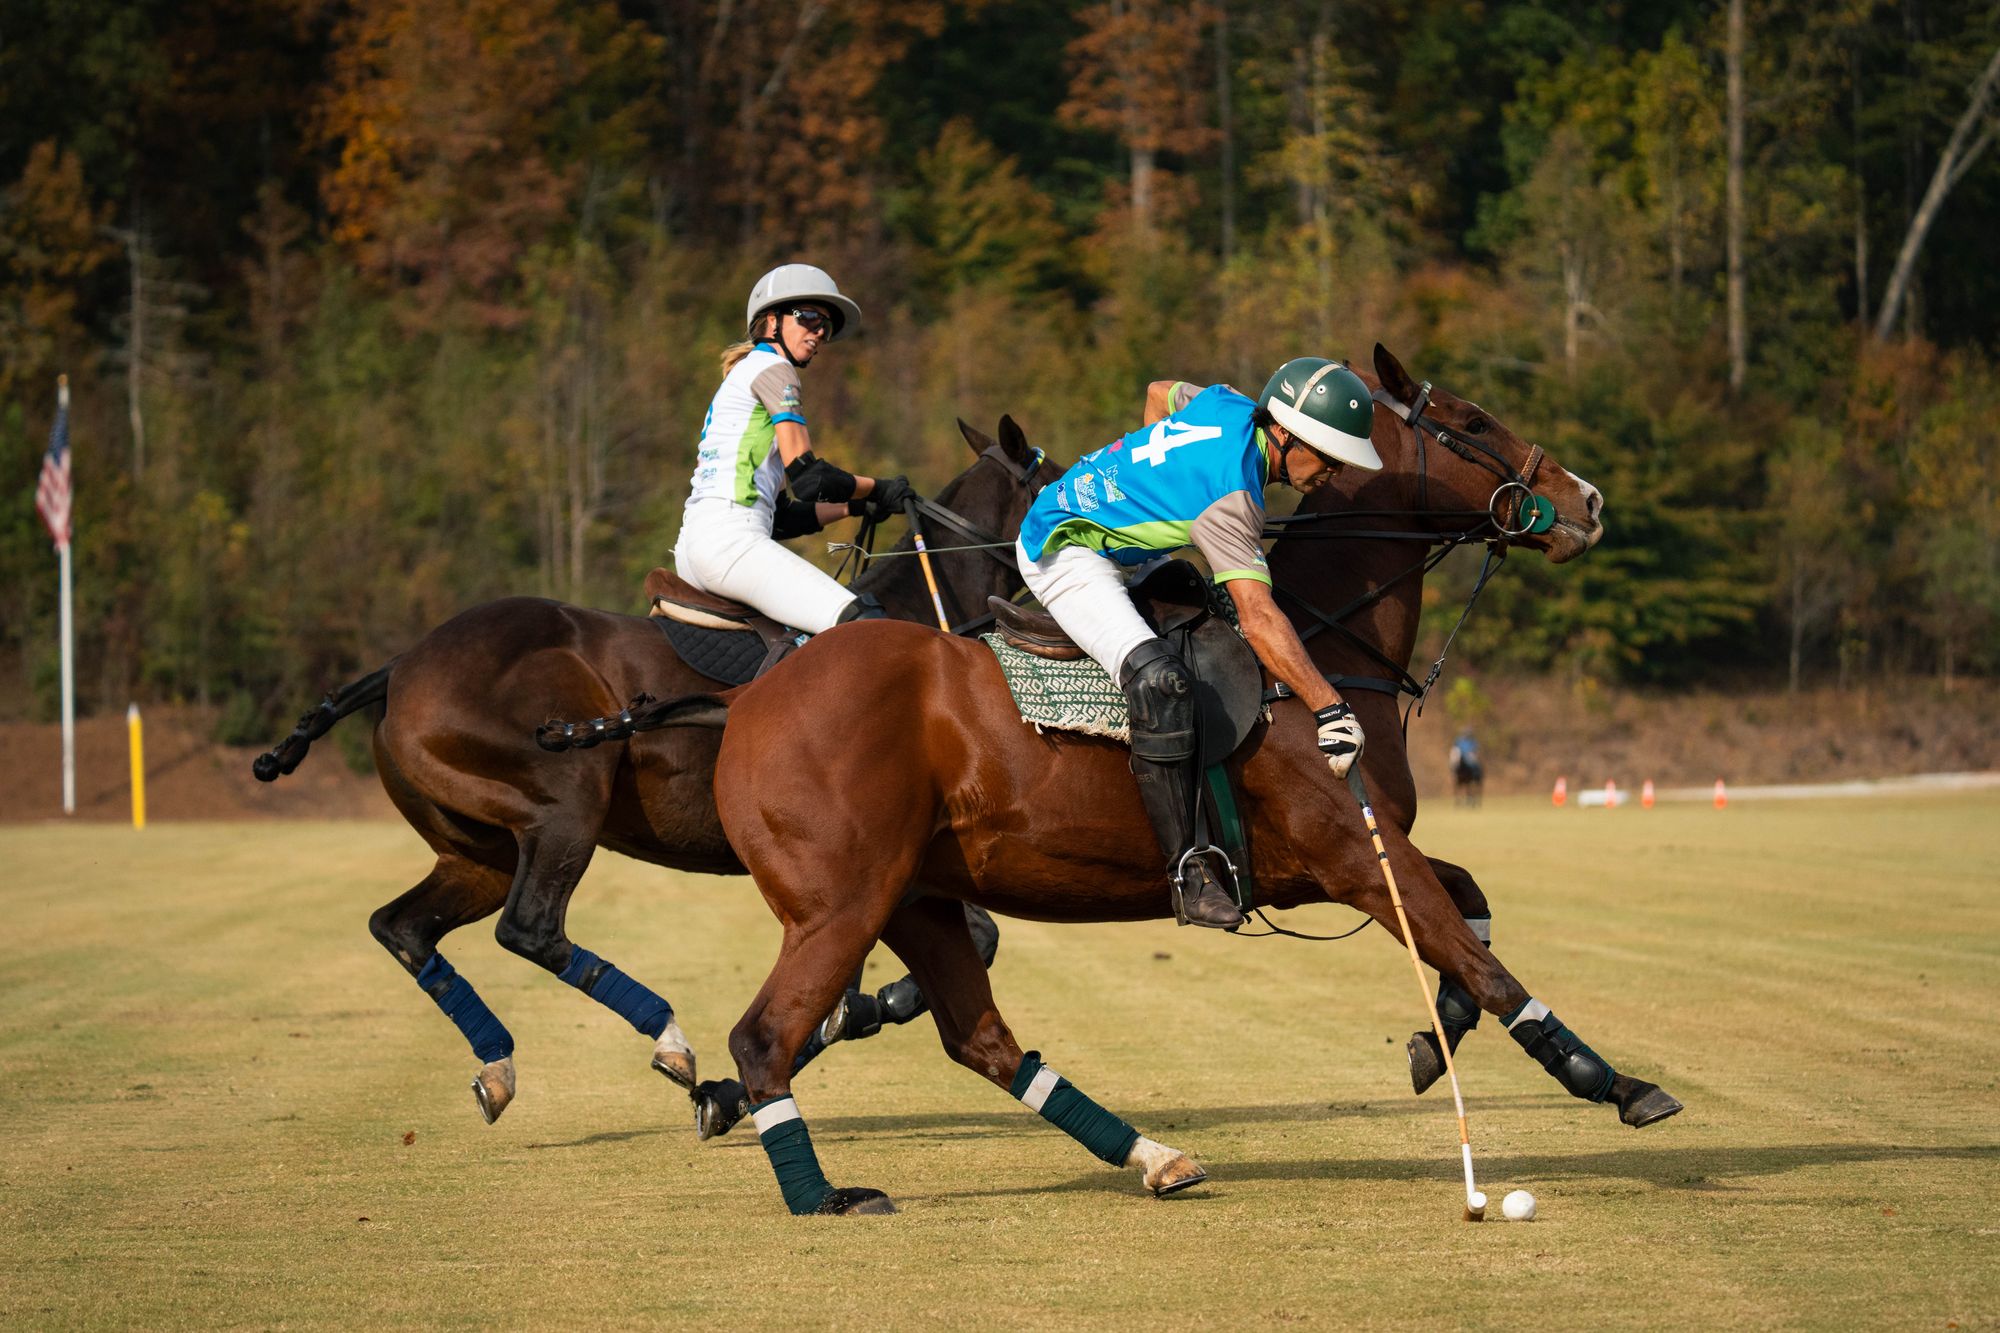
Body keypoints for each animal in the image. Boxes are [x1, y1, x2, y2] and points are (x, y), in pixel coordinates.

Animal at [251, 418, 1053, 1124]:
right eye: (1055, 483)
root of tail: (398, 668)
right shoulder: (883, 859)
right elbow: (966, 942)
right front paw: (816, 1036)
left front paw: (787, 1056)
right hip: (565, 802)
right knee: (530, 928)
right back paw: (668, 1039)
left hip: (478, 848)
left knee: (404, 926)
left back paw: (498, 1067)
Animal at [575, 344, 1682, 1215]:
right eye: (1470, 422)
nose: (1584, 502)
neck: (1324, 646)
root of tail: (748, 703)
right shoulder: (1350, 850)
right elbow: (1481, 958)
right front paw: (1614, 1080)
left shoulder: (1358, 851)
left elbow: (1466, 910)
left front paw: (1431, 1037)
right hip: (840, 902)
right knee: (768, 1034)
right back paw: (820, 1190)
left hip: (913, 893)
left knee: (980, 1038)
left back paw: (1154, 1156)